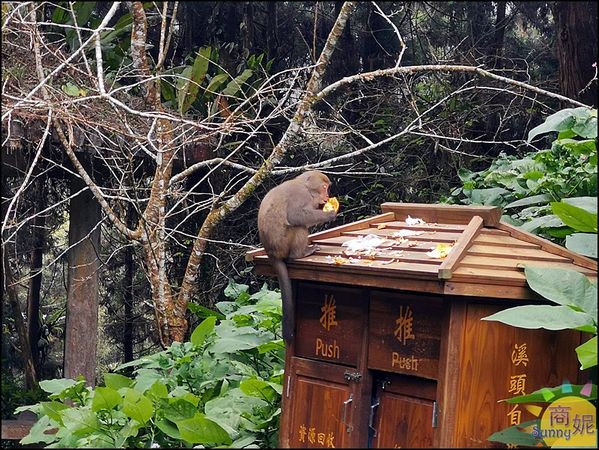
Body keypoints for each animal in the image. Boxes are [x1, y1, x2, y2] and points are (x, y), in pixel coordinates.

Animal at [258, 171, 340, 342]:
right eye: (324, 187)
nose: (327, 196)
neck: (306, 187)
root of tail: (271, 253)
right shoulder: (301, 195)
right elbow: (295, 215)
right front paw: (328, 214)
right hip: (285, 243)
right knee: (299, 226)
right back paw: (300, 254)